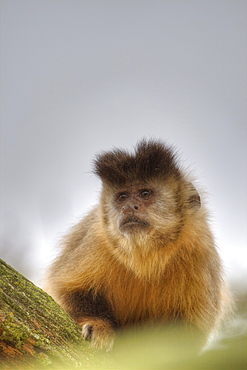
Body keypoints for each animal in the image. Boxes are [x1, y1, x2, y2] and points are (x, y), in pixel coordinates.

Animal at [44, 139, 230, 350]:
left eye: (145, 193)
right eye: (123, 197)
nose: (128, 208)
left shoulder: (200, 251)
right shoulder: (96, 239)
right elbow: (66, 290)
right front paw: (98, 325)